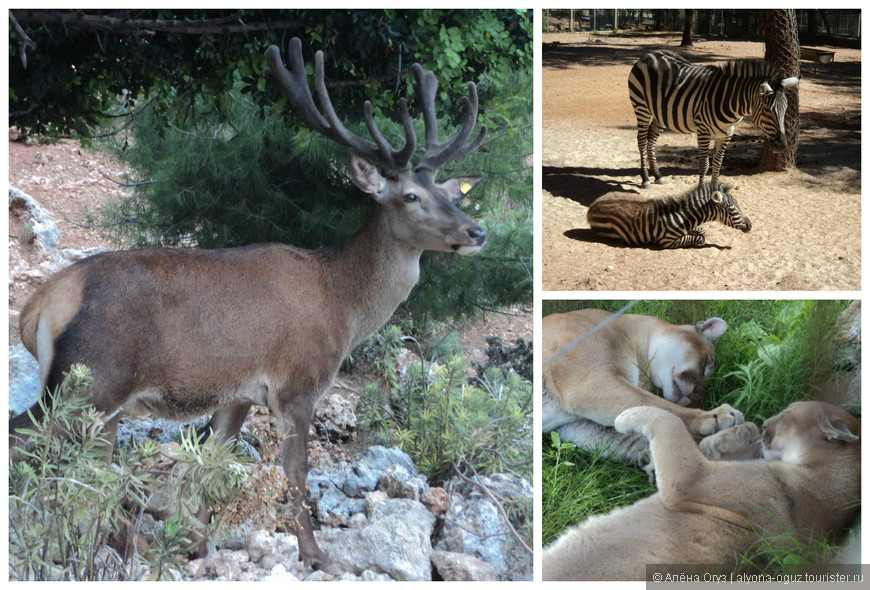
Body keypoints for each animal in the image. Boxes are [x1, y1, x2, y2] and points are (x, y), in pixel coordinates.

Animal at [10, 38, 490, 580]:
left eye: (450, 193)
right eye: (410, 195)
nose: (477, 232)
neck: (343, 306)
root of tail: (38, 307)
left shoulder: (236, 392)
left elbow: (215, 460)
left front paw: (197, 545)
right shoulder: (297, 383)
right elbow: (296, 471)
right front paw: (316, 555)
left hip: (93, 396)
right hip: (91, 380)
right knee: (28, 440)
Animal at [588, 184, 752, 251]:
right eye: (732, 209)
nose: (750, 225)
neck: (682, 217)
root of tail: (592, 206)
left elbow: (701, 232)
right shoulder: (667, 241)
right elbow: (699, 239)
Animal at [632, 51, 800, 190]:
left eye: (786, 107)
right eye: (767, 109)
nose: (782, 145)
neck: (730, 103)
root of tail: (649, 54)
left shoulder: (726, 134)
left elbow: (717, 164)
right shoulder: (703, 132)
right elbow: (704, 165)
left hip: (661, 114)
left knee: (651, 139)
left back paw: (658, 176)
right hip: (642, 107)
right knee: (641, 141)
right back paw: (645, 179)